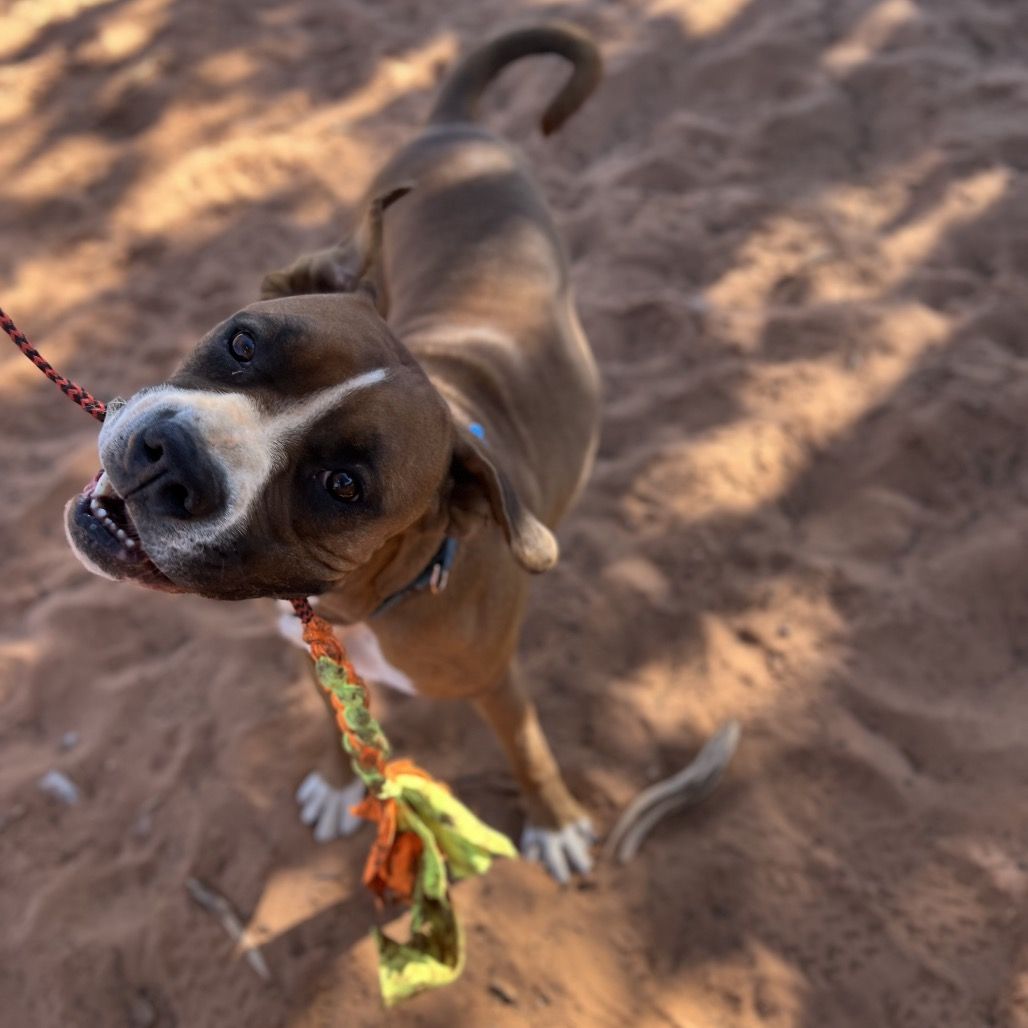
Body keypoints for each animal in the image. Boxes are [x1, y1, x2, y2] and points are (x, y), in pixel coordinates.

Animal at [64, 23, 603, 883]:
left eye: (343, 485)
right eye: (242, 343)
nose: (169, 455)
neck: (362, 604)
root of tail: (459, 128)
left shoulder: (496, 681)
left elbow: (526, 747)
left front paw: (553, 822)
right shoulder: (311, 656)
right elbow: (335, 717)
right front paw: (334, 777)